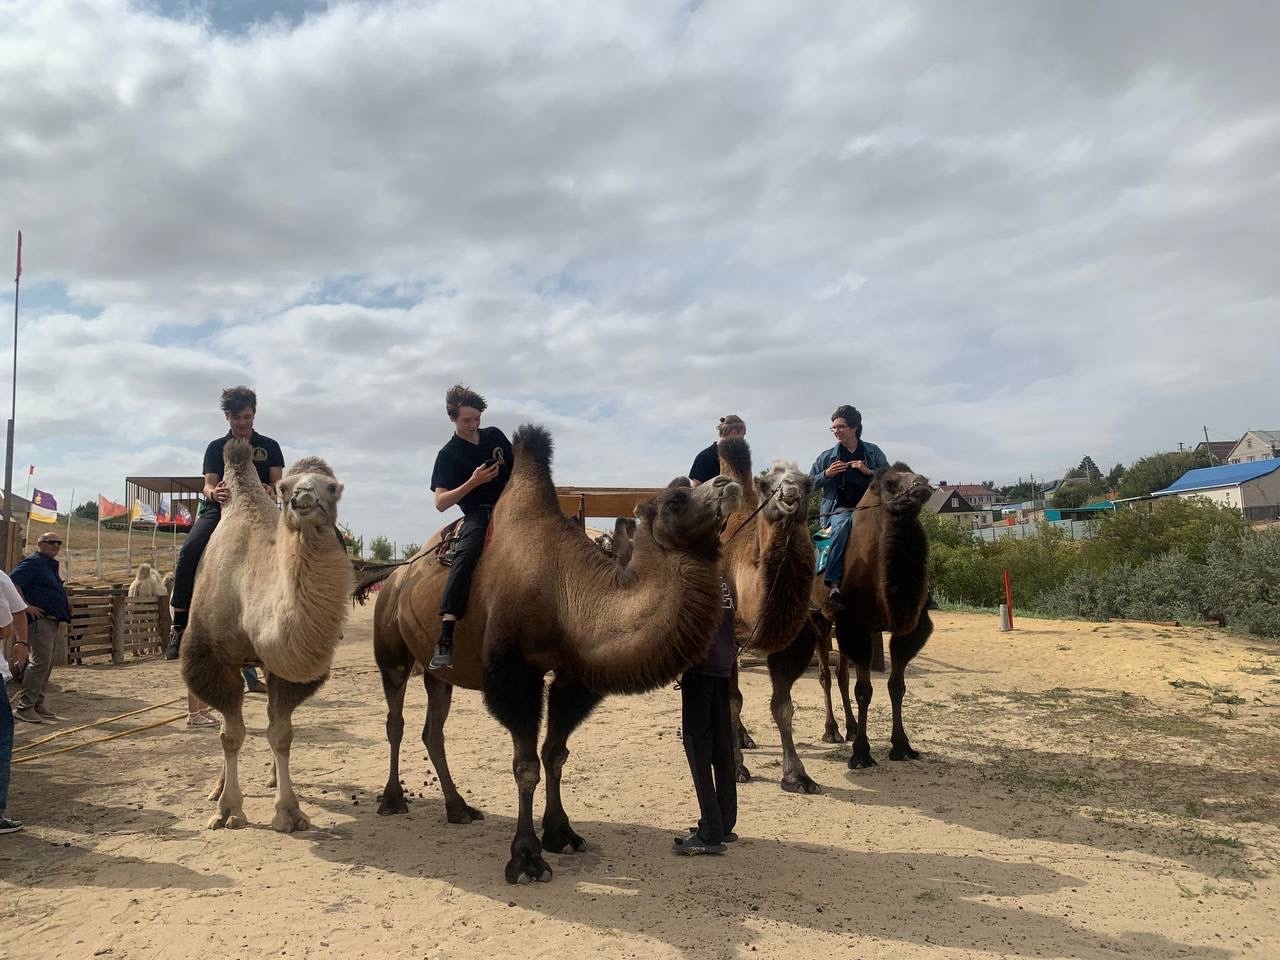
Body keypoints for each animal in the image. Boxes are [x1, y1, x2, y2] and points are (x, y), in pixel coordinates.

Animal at [180, 442, 350, 834]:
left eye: (332, 487)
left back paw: (273, 776)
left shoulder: (284, 668)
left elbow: (281, 733)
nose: (304, 498)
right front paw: (228, 810)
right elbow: (231, 735)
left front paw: (289, 811)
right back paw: (216, 788)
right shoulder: (212, 660)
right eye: (285, 487)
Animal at [366, 427, 742, 885]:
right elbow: (525, 764)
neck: (565, 593)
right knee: (395, 720)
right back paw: (392, 801)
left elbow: (555, 754)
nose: (726, 483)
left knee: (432, 730)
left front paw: (562, 834)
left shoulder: (572, 676)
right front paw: (526, 859)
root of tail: (395, 574)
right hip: (391, 651)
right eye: (675, 498)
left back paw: (458, 809)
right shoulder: (514, 675)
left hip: (440, 673)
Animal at [716, 442, 824, 798]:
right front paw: (735, 768)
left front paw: (797, 775)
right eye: (766, 484)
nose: (789, 494)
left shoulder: (795, 643)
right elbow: (731, 702)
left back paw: (743, 737)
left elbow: (783, 706)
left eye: (808, 483)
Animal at [808, 463, 931, 773]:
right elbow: (863, 690)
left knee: (841, 673)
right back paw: (832, 730)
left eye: (919, 475)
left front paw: (902, 746)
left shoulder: (908, 629)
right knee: (826, 673)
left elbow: (896, 686)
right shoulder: (857, 625)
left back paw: (851, 728)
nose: (922, 485)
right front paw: (862, 754)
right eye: (890, 483)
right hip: (820, 619)